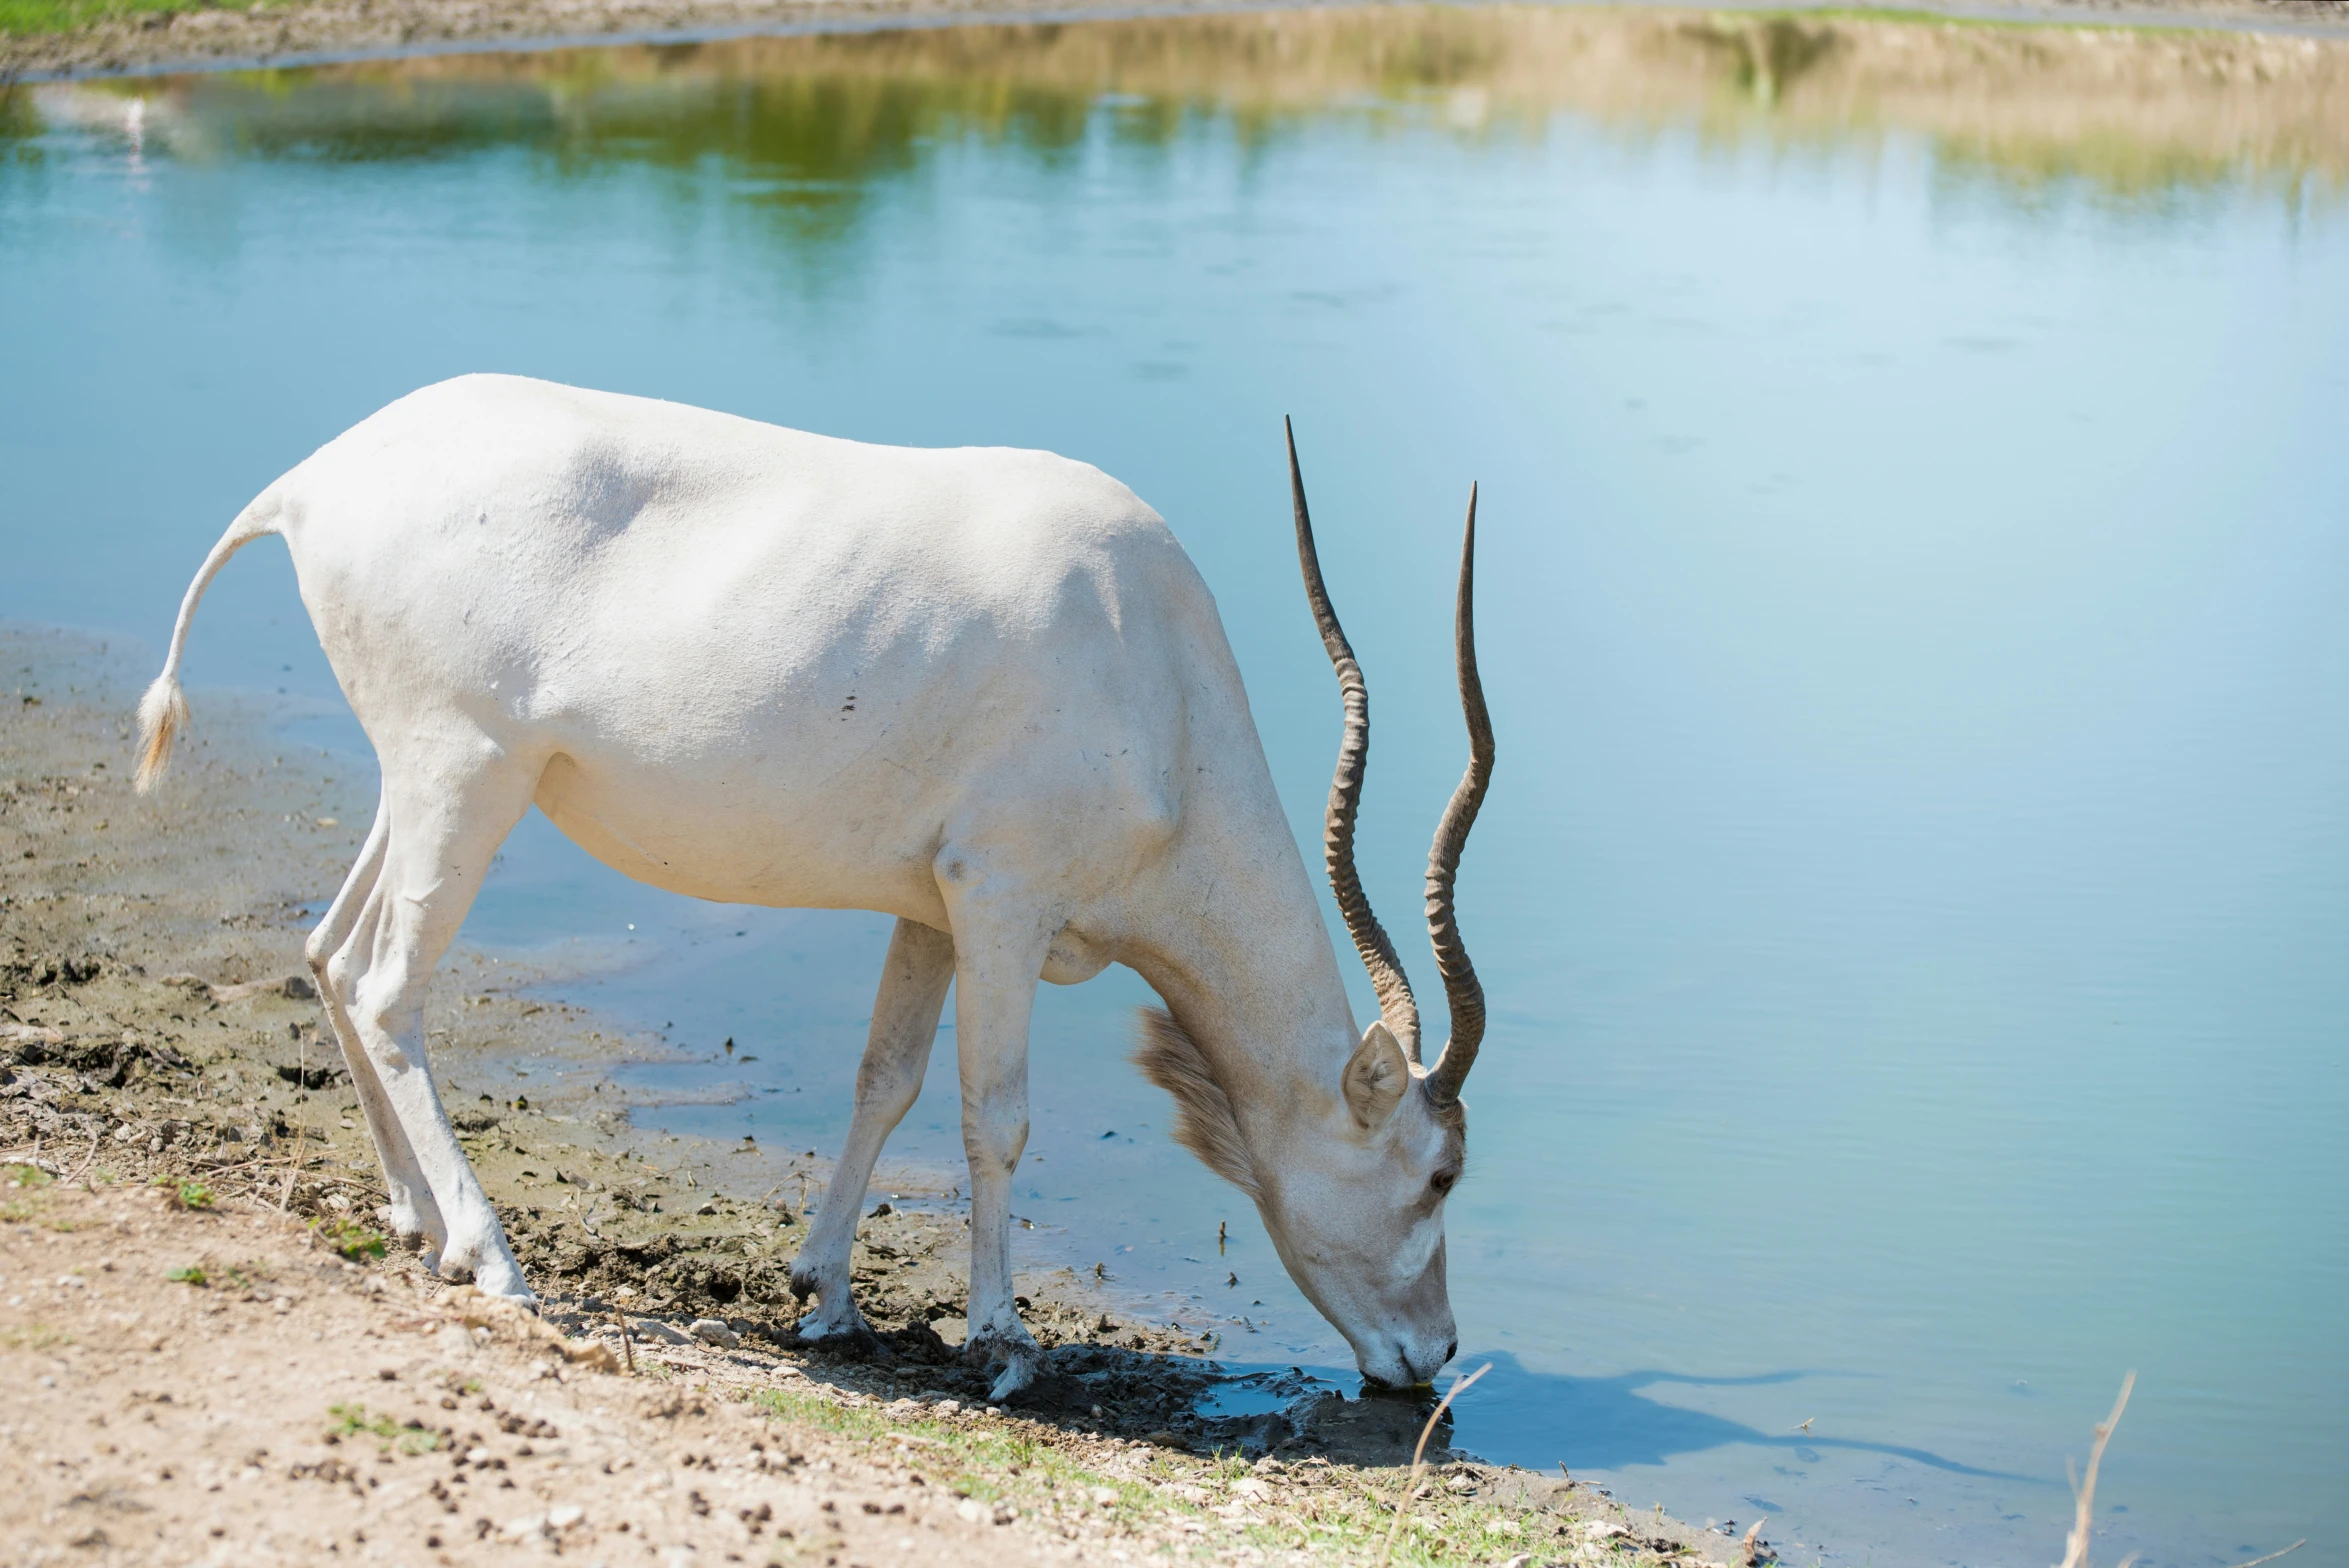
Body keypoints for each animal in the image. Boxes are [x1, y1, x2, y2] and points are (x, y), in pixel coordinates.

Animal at [133, 375, 1484, 1398]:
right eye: (1439, 1175)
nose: (1432, 1356)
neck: (1156, 675)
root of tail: (317, 481)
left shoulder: (929, 904)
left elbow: (886, 1079)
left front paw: (825, 1293)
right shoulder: (1003, 897)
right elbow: (995, 1114)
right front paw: (1002, 1343)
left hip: (418, 780)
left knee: (329, 950)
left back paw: (417, 1224)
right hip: (468, 772)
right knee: (386, 984)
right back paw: (491, 1255)